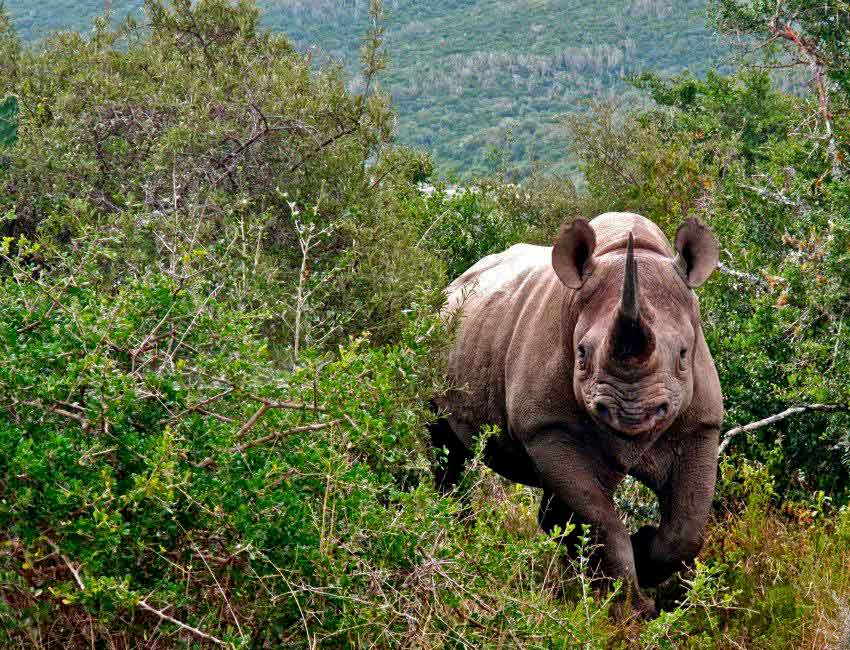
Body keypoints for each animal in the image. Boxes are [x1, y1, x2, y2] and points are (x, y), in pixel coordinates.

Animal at [431, 212, 723, 617]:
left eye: (683, 354)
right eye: (581, 353)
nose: (630, 412)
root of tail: (455, 284)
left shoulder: (700, 425)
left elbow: (688, 526)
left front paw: (644, 556)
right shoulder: (547, 428)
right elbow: (599, 518)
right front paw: (628, 608)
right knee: (446, 446)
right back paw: (458, 531)